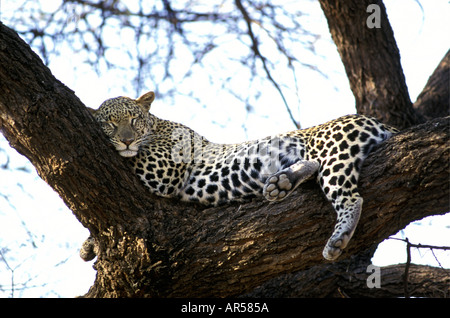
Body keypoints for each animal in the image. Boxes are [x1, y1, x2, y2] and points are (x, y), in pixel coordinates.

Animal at [81, 90, 398, 262]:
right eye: (110, 123)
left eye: (133, 120)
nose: (126, 140)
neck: (157, 125)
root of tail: (378, 121)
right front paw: (87, 246)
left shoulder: (160, 170)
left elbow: (137, 158)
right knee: (313, 168)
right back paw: (281, 183)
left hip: (334, 149)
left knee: (351, 197)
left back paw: (338, 240)